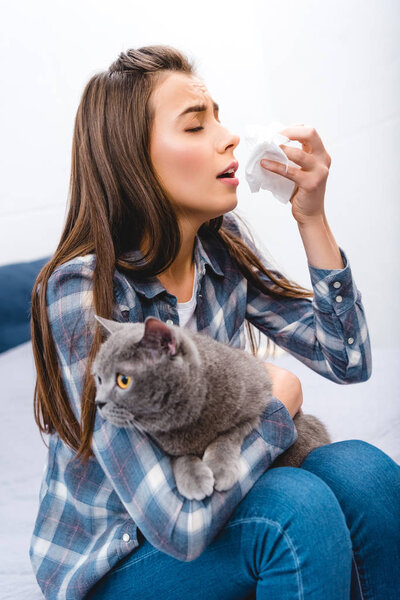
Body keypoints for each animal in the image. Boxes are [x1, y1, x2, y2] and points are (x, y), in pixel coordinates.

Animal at [90, 314, 332, 502]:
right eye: (99, 378)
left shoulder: (257, 405)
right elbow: (181, 457)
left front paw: (219, 468)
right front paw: (194, 480)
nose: (98, 402)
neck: (186, 419)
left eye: (123, 380)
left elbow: (227, 436)